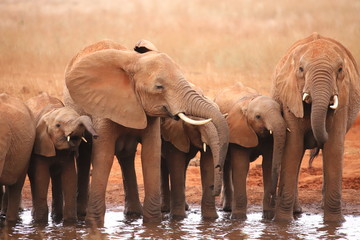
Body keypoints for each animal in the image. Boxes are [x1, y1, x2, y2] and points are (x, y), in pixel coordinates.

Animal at [25, 92, 97, 223]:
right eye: (58, 125)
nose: (96, 136)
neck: (51, 112)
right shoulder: (41, 145)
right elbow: (41, 177)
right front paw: (40, 223)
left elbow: (70, 177)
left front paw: (70, 222)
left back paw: (56, 217)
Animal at [63, 39, 229, 227]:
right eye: (159, 86)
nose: (215, 190)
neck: (133, 62)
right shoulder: (102, 105)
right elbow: (103, 155)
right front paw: (94, 226)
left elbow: (151, 154)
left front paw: (152, 226)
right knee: (85, 155)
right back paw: (83, 215)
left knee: (126, 156)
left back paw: (133, 213)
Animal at [272, 32, 358, 222]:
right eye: (301, 69)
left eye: (340, 70)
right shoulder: (290, 97)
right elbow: (293, 147)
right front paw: (282, 223)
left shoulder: (343, 96)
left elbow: (334, 148)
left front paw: (335, 223)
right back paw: (296, 212)